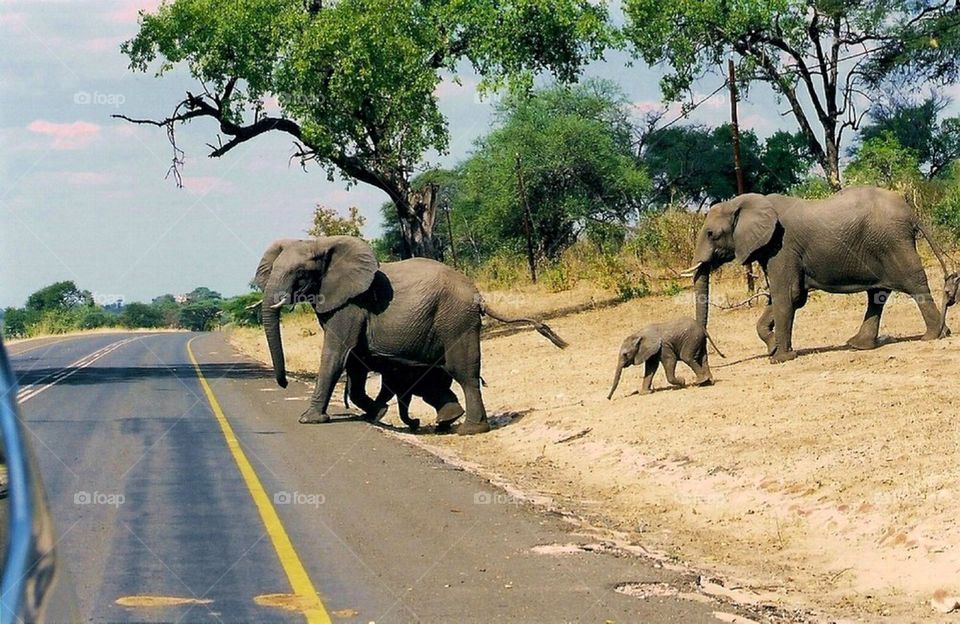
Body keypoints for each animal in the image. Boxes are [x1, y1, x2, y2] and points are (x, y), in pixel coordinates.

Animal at [255, 236, 568, 435]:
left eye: (301, 273)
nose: (283, 384)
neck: (321, 242)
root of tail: (478, 296)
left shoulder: (351, 303)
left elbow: (336, 354)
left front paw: (308, 420)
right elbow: (355, 360)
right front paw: (377, 413)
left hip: (456, 319)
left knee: (464, 372)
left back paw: (469, 429)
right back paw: (448, 420)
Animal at [681, 187, 950, 363]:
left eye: (711, 234)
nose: (720, 356)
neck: (745, 202)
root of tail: (911, 212)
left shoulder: (782, 246)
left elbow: (786, 295)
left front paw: (780, 358)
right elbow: (790, 298)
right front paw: (773, 348)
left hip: (893, 242)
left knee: (914, 282)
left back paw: (934, 335)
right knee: (877, 294)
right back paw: (859, 345)